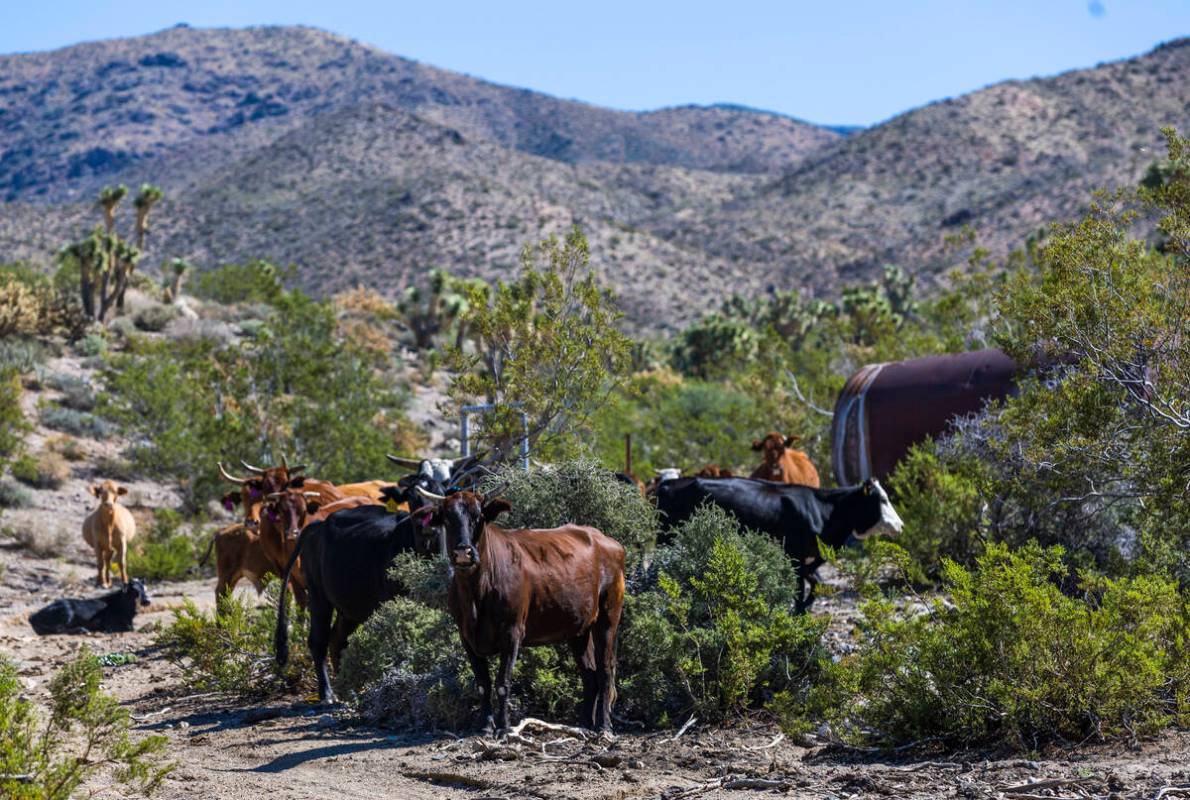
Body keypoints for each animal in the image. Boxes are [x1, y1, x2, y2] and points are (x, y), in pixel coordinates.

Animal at [652, 476, 899, 614]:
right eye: (883, 499)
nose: (900, 525)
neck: (823, 511)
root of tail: (668, 484)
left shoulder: (806, 559)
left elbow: (816, 583)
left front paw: (804, 609)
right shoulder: (795, 555)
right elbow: (800, 589)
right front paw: (797, 613)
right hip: (666, 540)